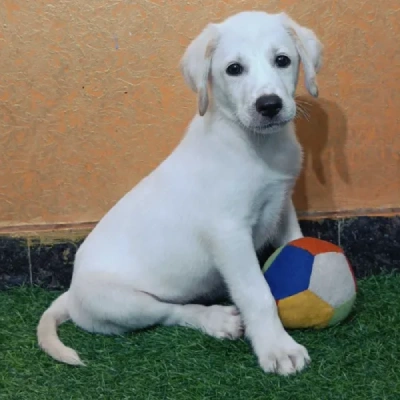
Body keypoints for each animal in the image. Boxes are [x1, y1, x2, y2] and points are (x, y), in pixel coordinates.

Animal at [37, 10, 324, 376]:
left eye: (283, 60)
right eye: (234, 69)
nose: (269, 105)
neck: (258, 145)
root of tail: (71, 294)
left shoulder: (282, 202)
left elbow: (296, 242)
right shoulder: (229, 233)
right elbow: (256, 292)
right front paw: (278, 347)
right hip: (122, 303)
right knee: (169, 311)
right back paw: (218, 319)